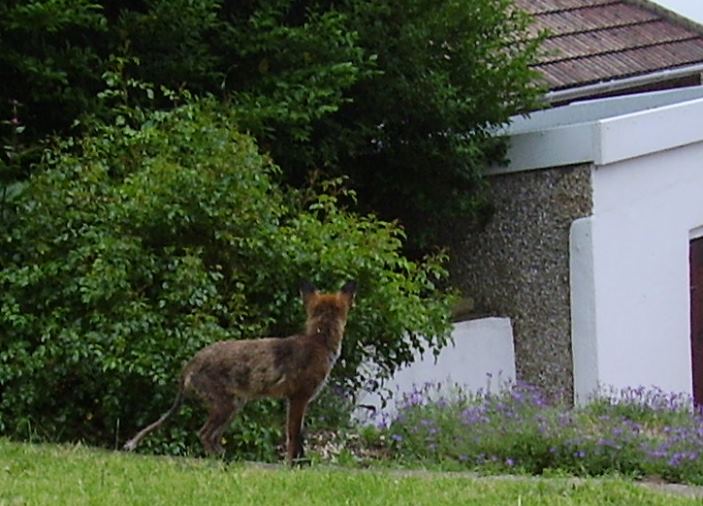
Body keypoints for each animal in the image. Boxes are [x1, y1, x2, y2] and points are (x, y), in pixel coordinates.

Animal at [122, 280, 357, 464]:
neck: (319, 341)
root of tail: (191, 362)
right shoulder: (298, 397)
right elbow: (294, 437)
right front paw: (292, 465)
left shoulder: (293, 400)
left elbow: (297, 437)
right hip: (226, 406)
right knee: (204, 434)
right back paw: (222, 462)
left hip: (233, 407)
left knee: (212, 437)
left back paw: (225, 459)